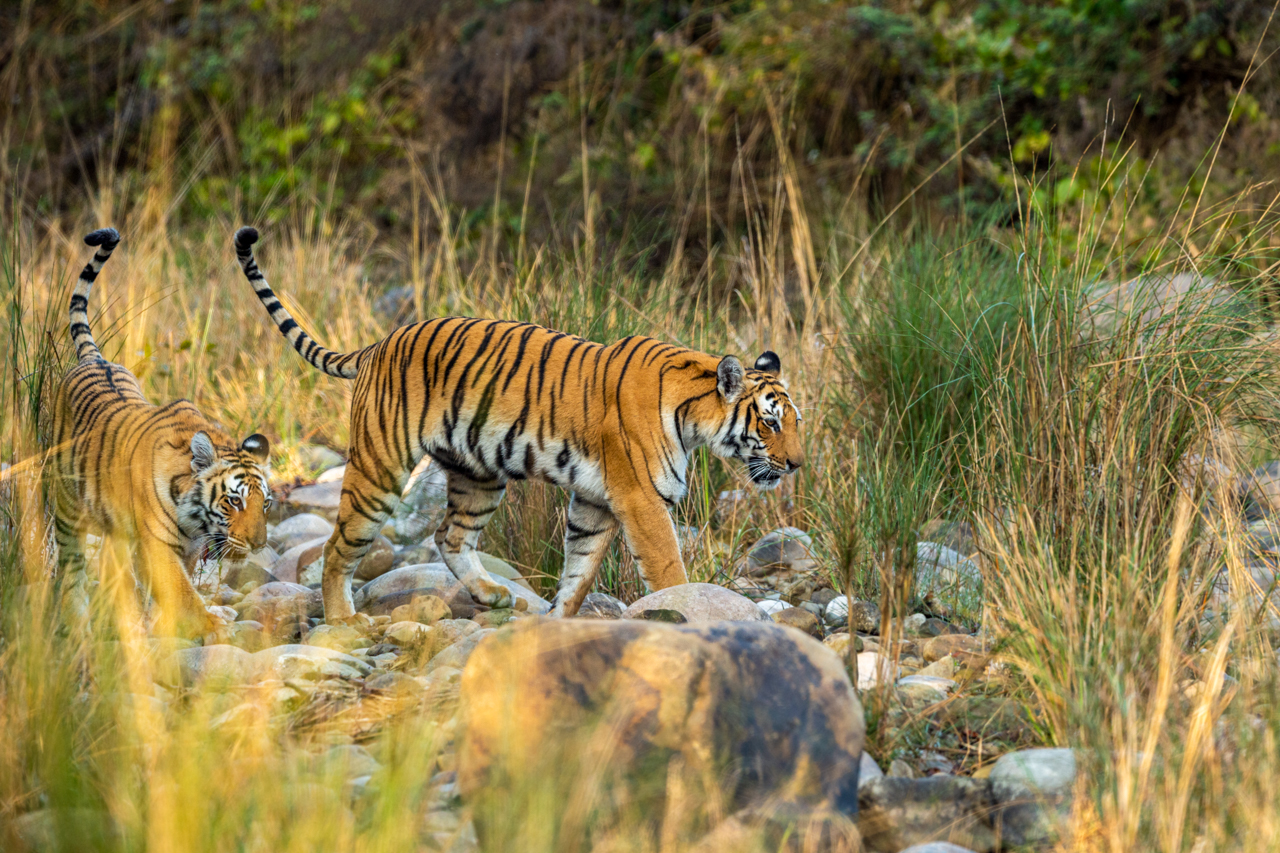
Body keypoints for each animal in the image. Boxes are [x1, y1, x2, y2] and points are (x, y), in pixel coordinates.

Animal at [48, 229, 273, 635]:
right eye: (234, 501)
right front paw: (213, 627)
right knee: (72, 562)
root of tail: (95, 358)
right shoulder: (156, 546)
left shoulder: (186, 547)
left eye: (265, 504)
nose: (258, 545)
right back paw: (78, 619)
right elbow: (183, 592)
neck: (196, 520)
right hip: (68, 505)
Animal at [235, 222, 803, 614]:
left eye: (795, 422)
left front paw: (558, 621)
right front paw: (690, 612)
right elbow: (668, 571)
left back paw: (492, 596)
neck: (692, 413)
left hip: (478, 474)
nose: (797, 465)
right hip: (381, 468)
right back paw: (341, 621)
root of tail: (377, 344)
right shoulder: (641, 500)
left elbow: (579, 571)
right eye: (770, 423)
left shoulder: (596, 501)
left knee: (450, 536)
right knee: (338, 546)